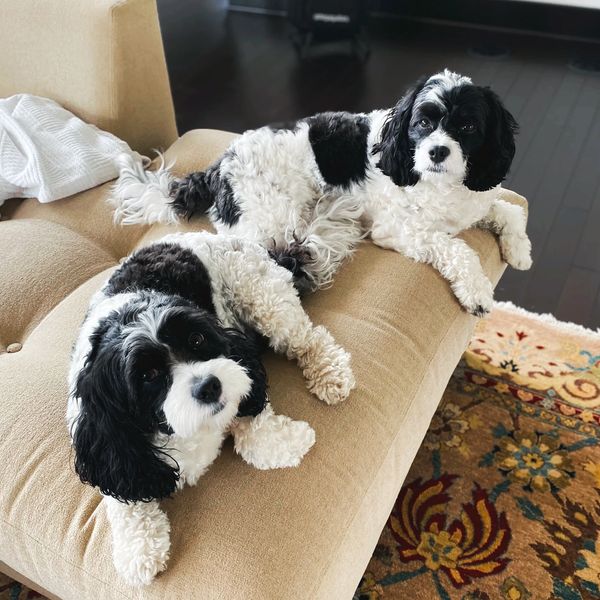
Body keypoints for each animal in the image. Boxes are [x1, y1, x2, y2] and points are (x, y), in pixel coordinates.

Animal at [67, 231, 354, 584]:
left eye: (197, 340)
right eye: (148, 375)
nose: (209, 386)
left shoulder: (241, 368)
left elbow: (254, 431)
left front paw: (295, 440)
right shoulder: (112, 450)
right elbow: (127, 501)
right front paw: (138, 552)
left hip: (263, 299)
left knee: (307, 337)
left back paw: (331, 374)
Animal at [110, 69, 532, 314]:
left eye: (468, 127)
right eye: (423, 123)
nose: (438, 151)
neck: (441, 184)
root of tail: (218, 167)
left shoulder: (475, 197)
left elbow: (508, 209)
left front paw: (519, 249)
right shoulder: (399, 230)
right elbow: (456, 248)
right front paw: (477, 291)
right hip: (275, 221)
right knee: (281, 261)